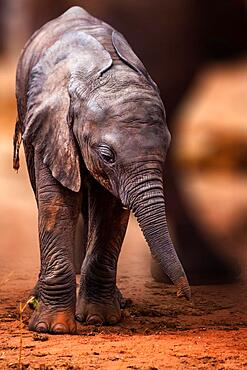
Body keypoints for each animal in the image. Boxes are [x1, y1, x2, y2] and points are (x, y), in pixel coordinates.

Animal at [13, 6, 191, 336]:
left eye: (166, 150)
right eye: (107, 156)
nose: (184, 295)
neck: (104, 77)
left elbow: (110, 211)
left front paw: (100, 319)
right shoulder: (52, 125)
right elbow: (56, 206)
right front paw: (53, 328)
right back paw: (36, 300)